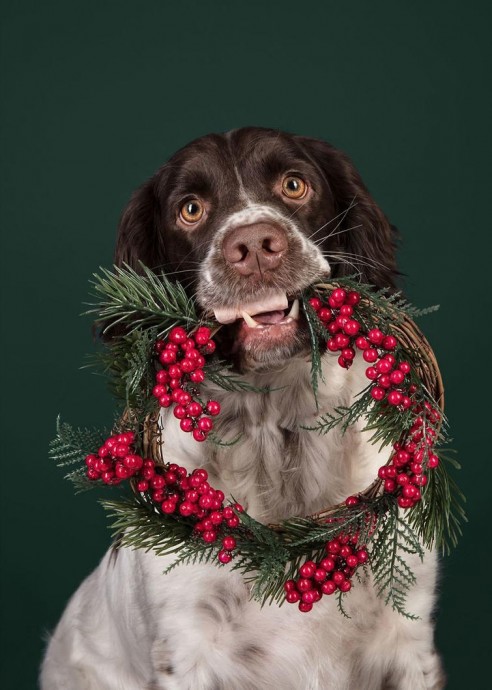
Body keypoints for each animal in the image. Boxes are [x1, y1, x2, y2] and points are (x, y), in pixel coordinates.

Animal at [40, 126, 444, 684]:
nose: (253, 246)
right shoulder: (186, 643)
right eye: (190, 209)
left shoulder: (407, 638)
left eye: (294, 184)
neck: (277, 430)